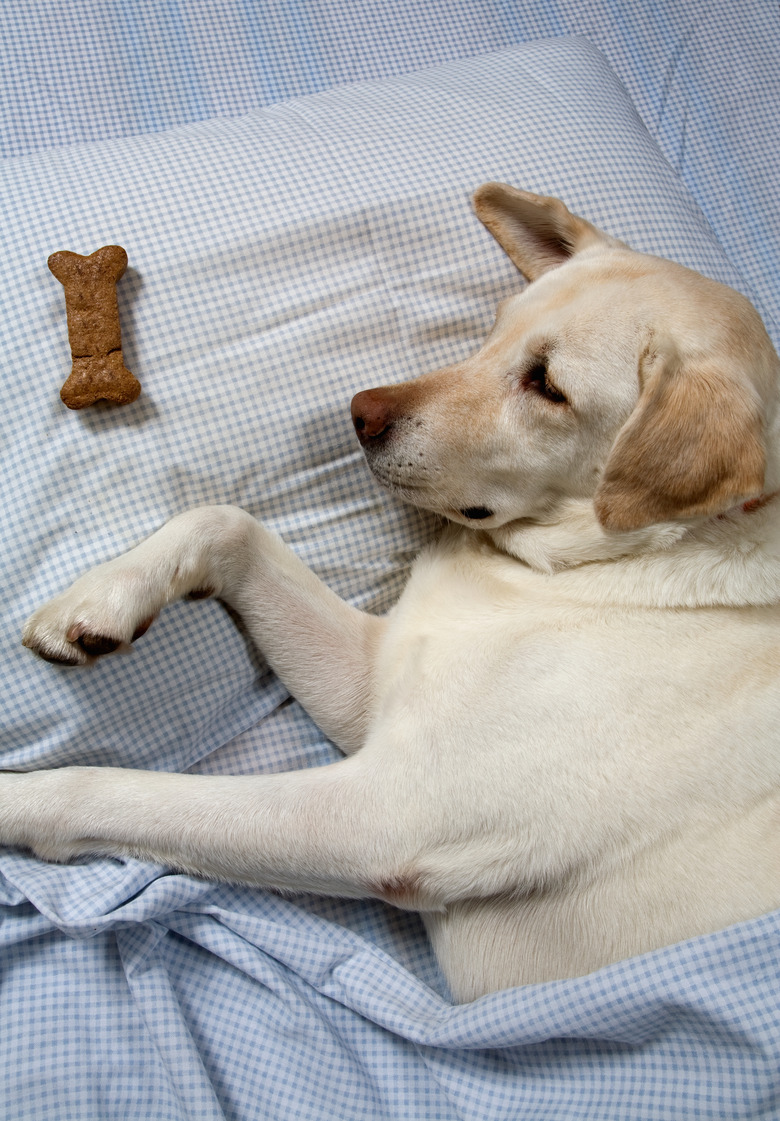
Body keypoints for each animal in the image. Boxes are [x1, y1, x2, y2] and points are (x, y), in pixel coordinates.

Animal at [7, 183, 780, 999]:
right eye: (498, 325)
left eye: (548, 386)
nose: (359, 413)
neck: (576, 569)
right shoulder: (368, 687)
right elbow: (225, 521)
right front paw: (99, 598)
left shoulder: (386, 815)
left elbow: (112, 790)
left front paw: (15, 800)